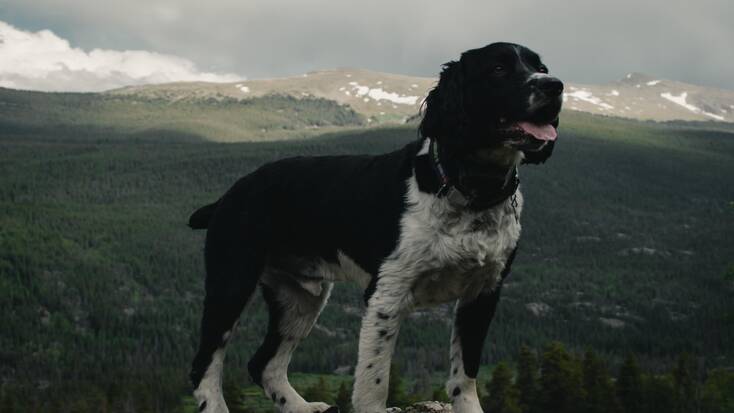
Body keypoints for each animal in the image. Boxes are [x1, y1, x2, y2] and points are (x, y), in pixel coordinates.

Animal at [188, 41, 564, 412]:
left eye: (541, 68)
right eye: (498, 68)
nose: (555, 86)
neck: (468, 188)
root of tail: (229, 195)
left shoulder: (484, 291)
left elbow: (465, 375)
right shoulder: (386, 294)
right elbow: (374, 383)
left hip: (300, 296)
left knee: (264, 363)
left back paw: (301, 406)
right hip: (232, 281)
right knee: (205, 362)